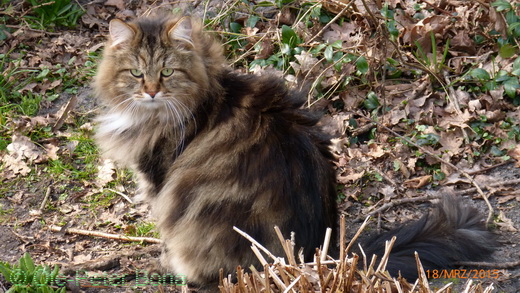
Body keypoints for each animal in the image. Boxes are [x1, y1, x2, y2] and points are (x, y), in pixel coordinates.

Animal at [93, 15, 496, 288]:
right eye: (135, 73)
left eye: (167, 72)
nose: (150, 91)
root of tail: (317, 255)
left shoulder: (159, 180)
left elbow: (163, 230)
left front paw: (162, 262)